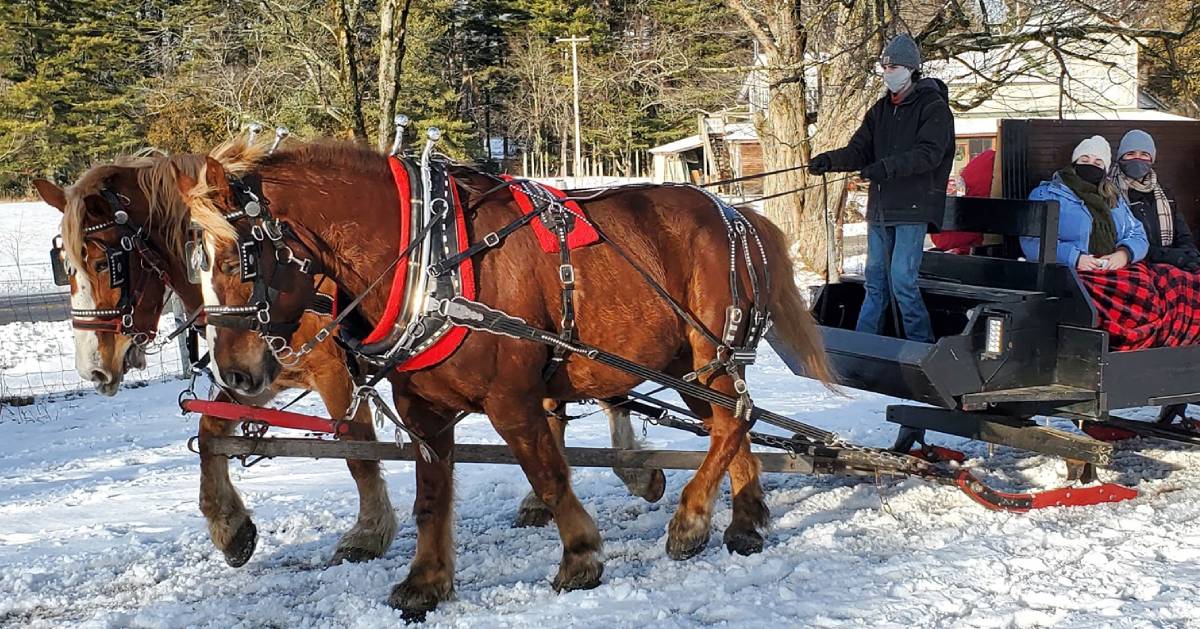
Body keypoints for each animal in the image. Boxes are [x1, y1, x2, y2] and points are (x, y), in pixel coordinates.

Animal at [32, 156, 396, 564]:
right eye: (63, 266)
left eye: (101, 264)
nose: (91, 366)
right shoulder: (255, 374)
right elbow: (210, 431)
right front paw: (229, 525)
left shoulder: (333, 372)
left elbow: (359, 451)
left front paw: (369, 532)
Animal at [180, 138, 835, 619]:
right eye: (195, 266)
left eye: (239, 259)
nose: (235, 372)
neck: (430, 261)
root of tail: (737, 212)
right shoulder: (421, 409)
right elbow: (430, 497)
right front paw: (425, 581)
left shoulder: (512, 400)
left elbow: (548, 474)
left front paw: (580, 557)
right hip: (684, 366)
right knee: (735, 424)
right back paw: (744, 520)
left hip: (711, 354)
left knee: (732, 421)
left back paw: (692, 521)